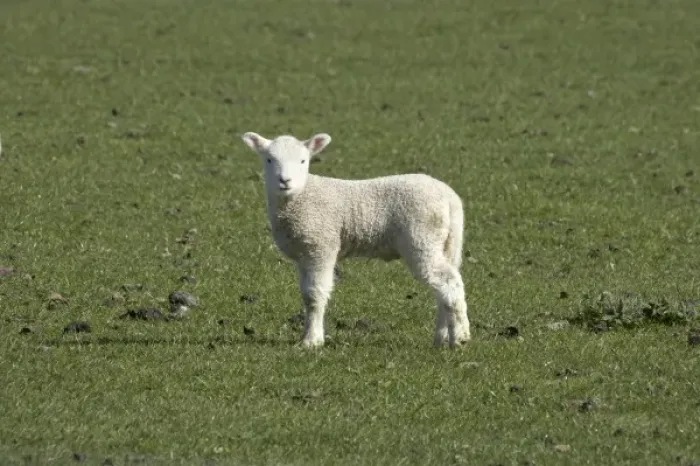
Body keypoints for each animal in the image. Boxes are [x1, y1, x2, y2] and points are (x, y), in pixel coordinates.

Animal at [240, 131, 470, 349]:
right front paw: (309, 335)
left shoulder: (321, 246)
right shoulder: (304, 253)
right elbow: (306, 296)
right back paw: (442, 337)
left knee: (449, 282)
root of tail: (449, 197)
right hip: (446, 243)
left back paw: (460, 336)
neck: (300, 197)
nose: (285, 181)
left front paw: (312, 341)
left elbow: (315, 295)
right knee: (445, 287)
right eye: (269, 159)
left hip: (422, 239)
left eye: (303, 161)